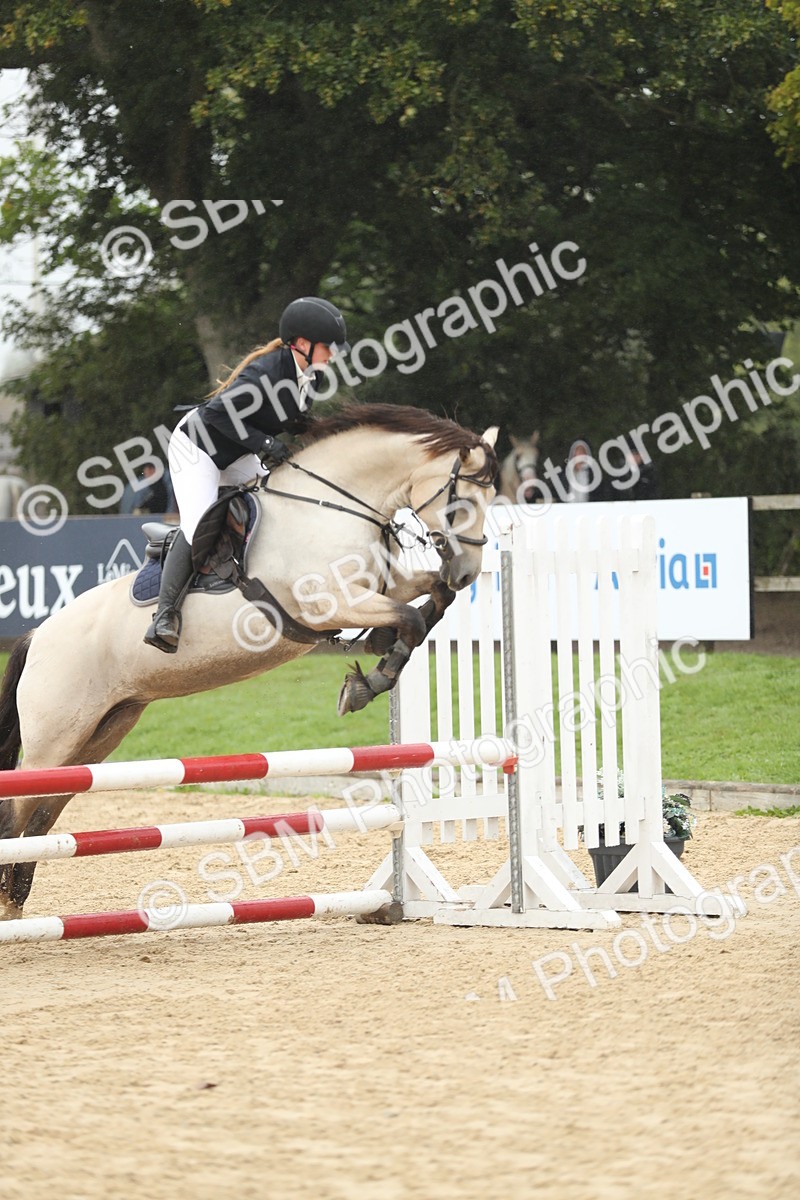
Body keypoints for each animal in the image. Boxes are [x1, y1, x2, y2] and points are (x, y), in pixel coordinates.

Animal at [0, 403, 498, 918]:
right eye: (462, 503)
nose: (467, 574)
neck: (324, 509)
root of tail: (37, 636)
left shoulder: (379, 588)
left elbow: (430, 599)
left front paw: (377, 655)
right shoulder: (332, 603)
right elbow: (412, 621)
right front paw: (367, 682)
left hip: (100, 734)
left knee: (40, 817)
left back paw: (15, 907)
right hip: (54, 742)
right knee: (15, 815)